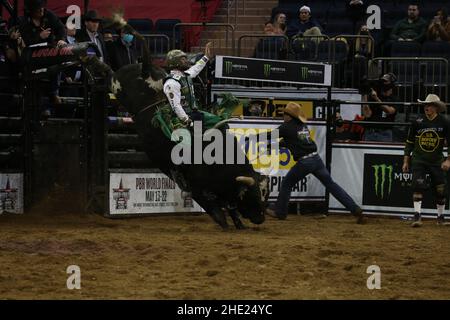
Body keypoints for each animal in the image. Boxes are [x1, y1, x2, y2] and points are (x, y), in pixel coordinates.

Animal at [26, 15, 270, 230]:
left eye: (263, 192)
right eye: (252, 194)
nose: (261, 217)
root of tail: (145, 69)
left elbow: (230, 205)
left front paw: (238, 222)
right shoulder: (196, 184)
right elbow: (212, 205)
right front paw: (224, 222)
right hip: (117, 86)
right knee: (109, 72)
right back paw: (89, 57)